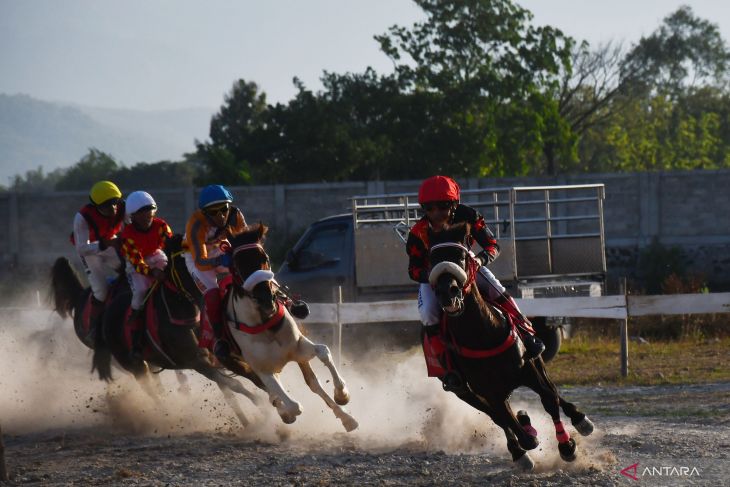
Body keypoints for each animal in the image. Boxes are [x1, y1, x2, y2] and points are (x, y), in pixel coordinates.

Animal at [223, 223, 356, 432]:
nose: (265, 298)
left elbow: (323, 352)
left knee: (313, 384)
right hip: (236, 364)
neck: (264, 322)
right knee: (271, 393)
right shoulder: (261, 368)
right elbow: (290, 403)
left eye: (265, 258)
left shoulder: (297, 347)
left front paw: (342, 394)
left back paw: (347, 418)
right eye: (237, 264)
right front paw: (288, 411)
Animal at [426, 223, 592, 470]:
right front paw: (525, 437)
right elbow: (509, 422)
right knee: (498, 417)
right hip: (465, 392)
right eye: (432, 259)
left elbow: (549, 399)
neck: (483, 334)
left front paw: (566, 446)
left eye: (462, 256)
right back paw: (519, 444)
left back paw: (579, 419)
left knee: (552, 391)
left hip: (536, 362)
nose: (448, 292)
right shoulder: (487, 390)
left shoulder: (530, 369)